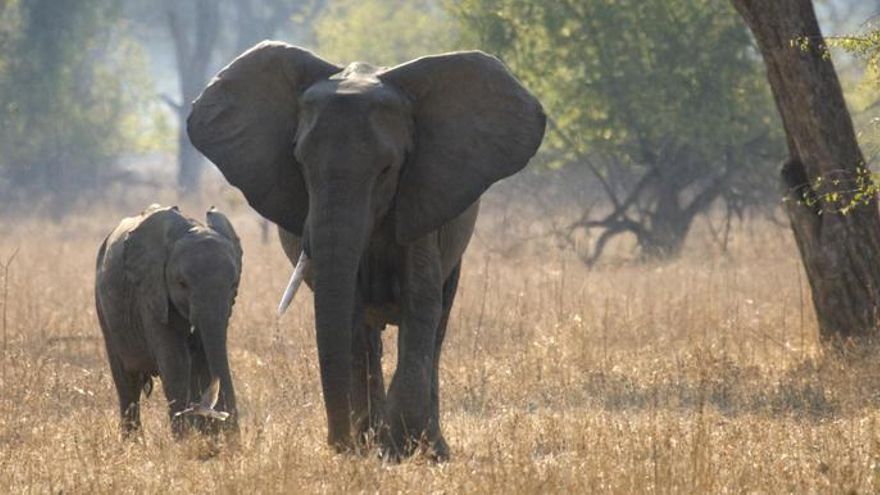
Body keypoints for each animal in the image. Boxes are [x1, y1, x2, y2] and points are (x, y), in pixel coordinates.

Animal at [95, 205, 244, 438]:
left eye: (233, 284)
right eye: (182, 284)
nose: (234, 438)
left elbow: (204, 360)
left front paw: (206, 437)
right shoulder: (150, 293)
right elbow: (176, 362)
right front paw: (186, 438)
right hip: (105, 312)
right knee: (127, 383)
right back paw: (133, 443)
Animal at [187, 40, 544, 460]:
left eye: (388, 169)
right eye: (300, 164)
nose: (336, 442)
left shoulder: (421, 197)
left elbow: (420, 303)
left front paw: (402, 447)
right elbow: (352, 314)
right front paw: (370, 446)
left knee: (438, 321)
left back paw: (430, 446)